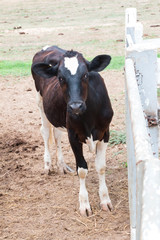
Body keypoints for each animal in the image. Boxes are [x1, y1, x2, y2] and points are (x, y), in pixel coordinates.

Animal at [31, 45, 114, 216]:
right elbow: (81, 170)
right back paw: (48, 165)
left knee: (56, 135)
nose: (75, 106)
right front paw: (84, 204)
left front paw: (105, 200)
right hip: (40, 103)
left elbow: (101, 167)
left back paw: (62, 166)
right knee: (45, 131)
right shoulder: (73, 136)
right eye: (60, 78)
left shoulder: (105, 133)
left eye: (85, 75)